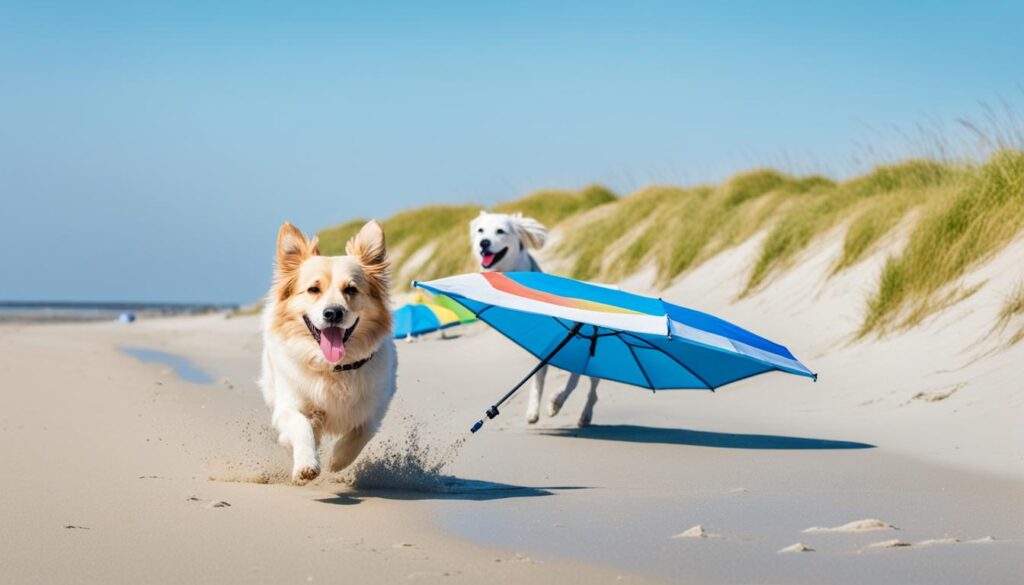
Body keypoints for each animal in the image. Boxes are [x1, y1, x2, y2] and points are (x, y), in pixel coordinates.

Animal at [260, 222, 395, 483]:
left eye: (351, 289)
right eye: (313, 289)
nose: (333, 313)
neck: (332, 367)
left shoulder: (376, 405)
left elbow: (363, 431)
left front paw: (338, 459)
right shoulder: (289, 405)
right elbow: (302, 426)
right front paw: (306, 465)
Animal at [471, 211, 598, 426]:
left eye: (500, 231)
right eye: (480, 230)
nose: (484, 243)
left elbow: (570, 382)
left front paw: (554, 403)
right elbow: (538, 380)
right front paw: (533, 411)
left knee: (591, 389)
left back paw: (583, 414)